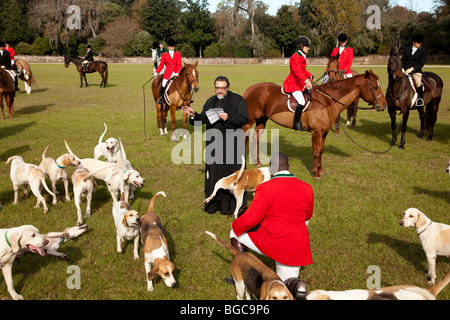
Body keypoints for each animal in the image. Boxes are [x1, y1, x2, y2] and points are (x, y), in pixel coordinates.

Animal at [243, 70, 386, 179]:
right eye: (374, 87)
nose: (384, 105)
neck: (327, 100)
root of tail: (249, 89)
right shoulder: (316, 132)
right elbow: (316, 151)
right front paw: (316, 173)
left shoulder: (324, 132)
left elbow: (321, 150)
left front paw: (320, 170)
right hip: (249, 122)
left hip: (262, 120)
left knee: (255, 138)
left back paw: (257, 163)